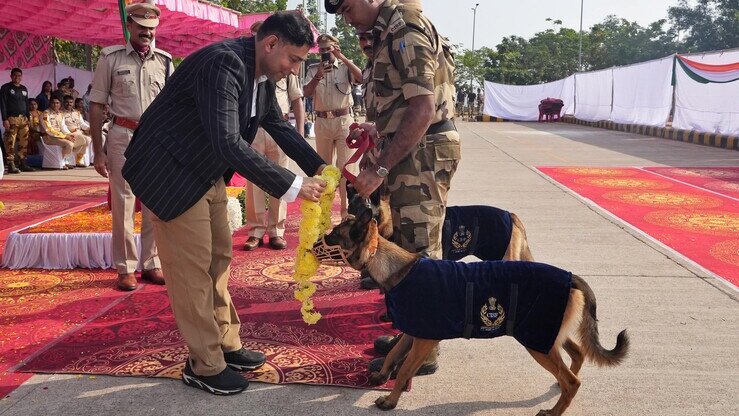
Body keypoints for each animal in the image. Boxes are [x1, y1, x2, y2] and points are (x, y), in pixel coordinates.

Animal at [314, 206, 632, 414]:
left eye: (335, 233)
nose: (318, 239)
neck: (395, 266)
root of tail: (571, 276)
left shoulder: (424, 339)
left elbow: (404, 369)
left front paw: (390, 400)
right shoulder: (413, 332)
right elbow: (394, 354)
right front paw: (382, 377)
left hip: (537, 341)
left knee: (573, 381)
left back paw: (554, 410)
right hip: (546, 335)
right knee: (576, 357)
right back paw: (558, 391)